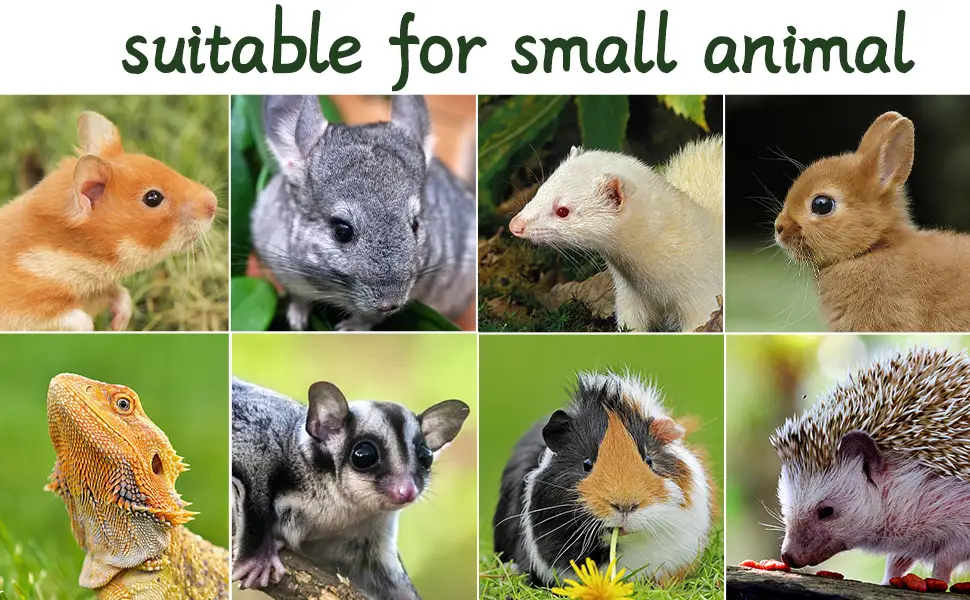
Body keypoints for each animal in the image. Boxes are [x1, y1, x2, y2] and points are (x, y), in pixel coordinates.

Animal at [0, 111, 217, 332]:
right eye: (153, 198)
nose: (214, 202)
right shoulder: (24, 311)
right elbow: (79, 319)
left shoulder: (99, 290)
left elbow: (121, 295)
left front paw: (118, 325)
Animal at [231, 378, 469, 600]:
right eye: (363, 456)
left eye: (426, 457)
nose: (407, 490)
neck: (340, 507)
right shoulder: (259, 439)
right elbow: (254, 473)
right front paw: (257, 560)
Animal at [253, 95, 477, 331]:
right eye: (342, 231)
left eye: (415, 224)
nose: (390, 304)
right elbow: (299, 298)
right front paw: (296, 321)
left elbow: (370, 318)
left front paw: (348, 328)